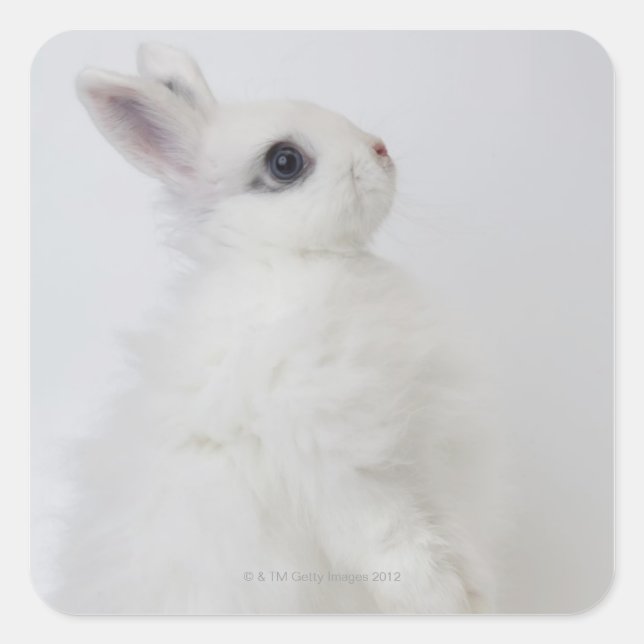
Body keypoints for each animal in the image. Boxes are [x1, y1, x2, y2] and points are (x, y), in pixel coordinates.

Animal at [51, 42, 502, 614]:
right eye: (285, 162)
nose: (380, 149)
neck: (288, 260)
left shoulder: (426, 454)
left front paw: (475, 595)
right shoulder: (335, 458)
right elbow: (392, 539)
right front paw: (441, 601)